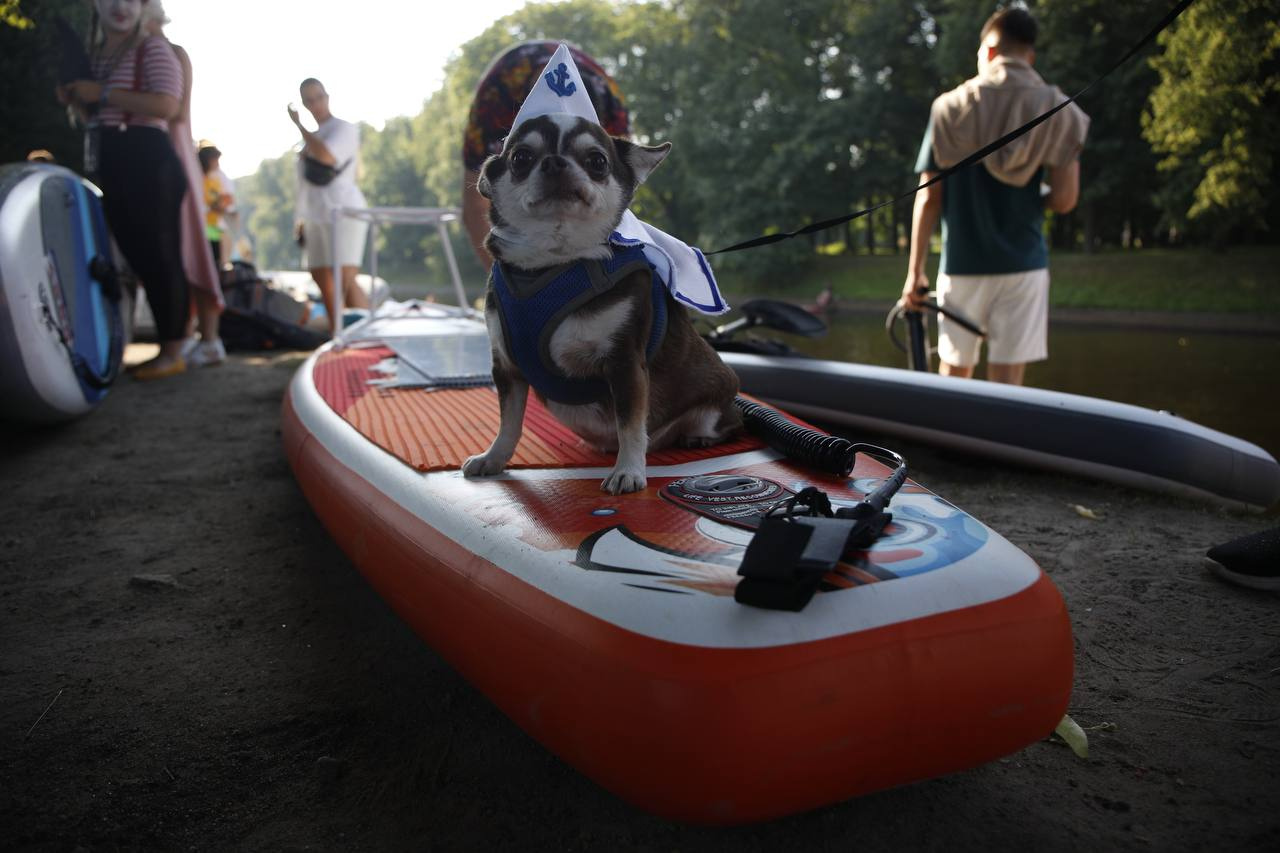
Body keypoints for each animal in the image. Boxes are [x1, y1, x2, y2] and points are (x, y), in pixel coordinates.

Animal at [460, 116, 742, 494]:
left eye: (597, 161)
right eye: (520, 158)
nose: (554, 162)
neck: (554, 262)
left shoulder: (625, 365)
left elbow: (630, 426)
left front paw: (629, 471)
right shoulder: (507, 367)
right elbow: (510, 422)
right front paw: (494, 457)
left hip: (714, 406)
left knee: (727, 424)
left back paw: (699, 438)